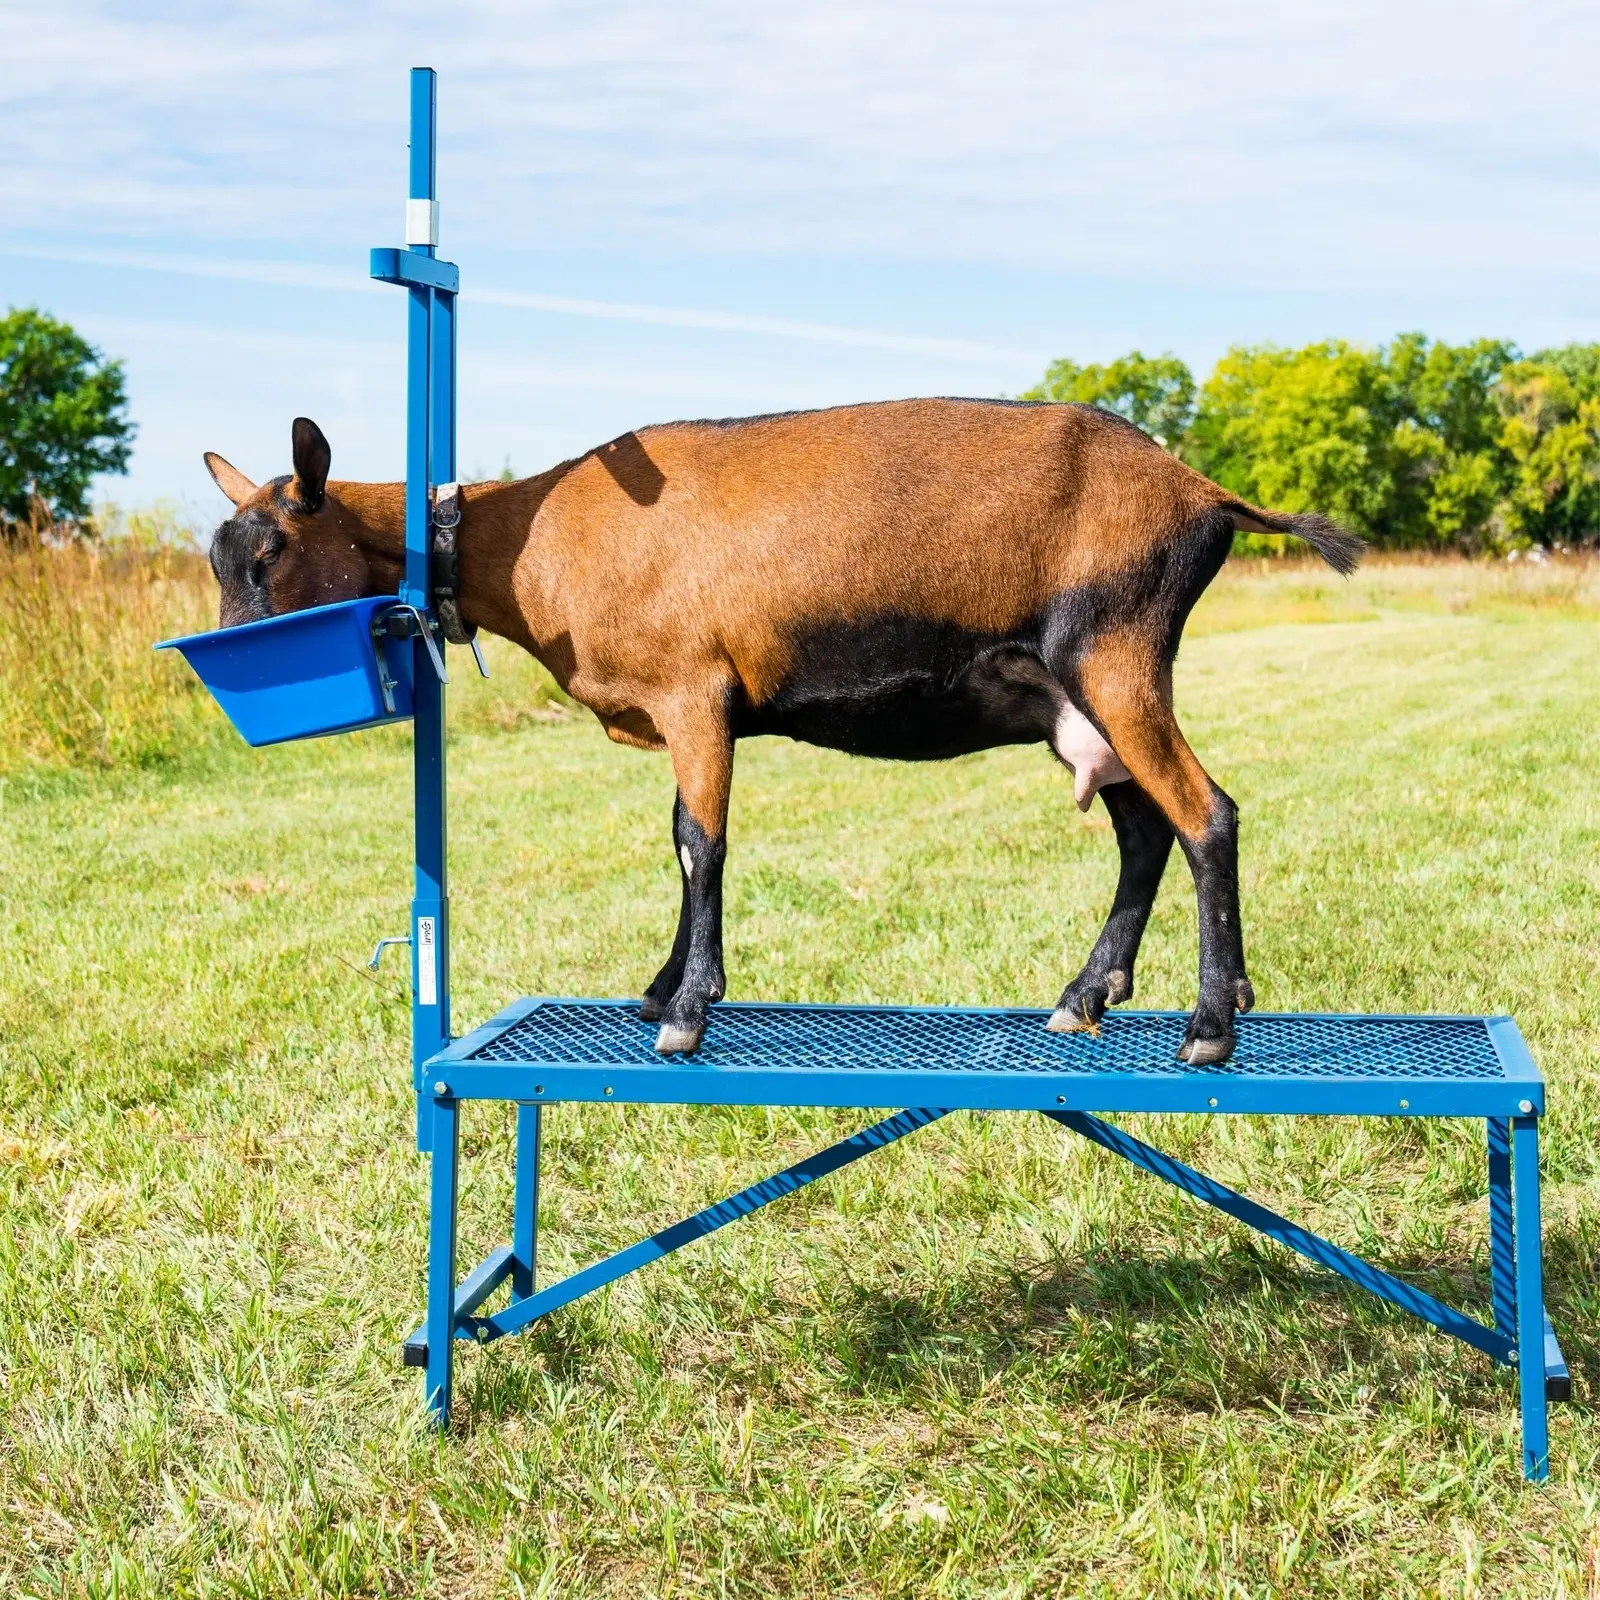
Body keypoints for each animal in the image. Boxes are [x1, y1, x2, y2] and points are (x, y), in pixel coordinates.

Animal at [203, 401, 1360, 1063]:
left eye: (267, 555)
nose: (225, 665)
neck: (536, 537)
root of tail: (1203, 490)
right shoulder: (687, 713)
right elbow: (677, 841)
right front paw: (657, 990)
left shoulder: (695, 693)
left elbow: (700, 844)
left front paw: (686, 1010)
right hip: (1073, 699)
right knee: (1143, 828)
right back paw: (1087, 996)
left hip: (1114, 654)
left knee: (1207, 815)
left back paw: (1211, 1025)